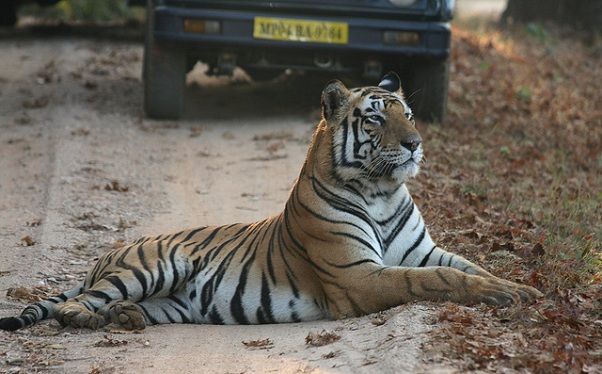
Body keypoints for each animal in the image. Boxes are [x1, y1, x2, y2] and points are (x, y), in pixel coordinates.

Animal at [0, 72, 540, 330]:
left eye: (406, 113)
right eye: (375, 119)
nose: (415, 144)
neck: (382, 192)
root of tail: (106, 254)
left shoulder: (425, 250)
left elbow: (469, 268)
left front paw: (520, 289)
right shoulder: (359, 275)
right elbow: (431, 280)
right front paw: (503, 295)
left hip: (174, 301)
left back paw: (126, 318)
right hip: (152, 267)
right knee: (77, 305)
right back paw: (92, 319)